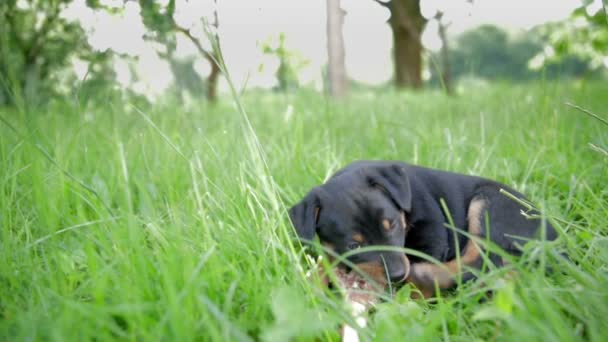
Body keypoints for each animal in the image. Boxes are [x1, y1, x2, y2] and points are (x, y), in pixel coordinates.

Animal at [288, 160, 556, 296]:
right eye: (354, 245)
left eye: (393, 225)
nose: (398, 275)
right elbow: (324, 260)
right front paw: (311, 283)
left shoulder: (433, 231)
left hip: (491, 204)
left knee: (484, 260)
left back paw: (425, 276)